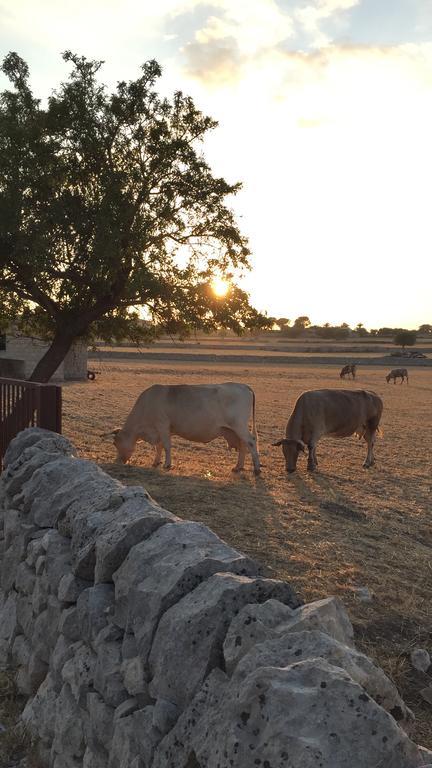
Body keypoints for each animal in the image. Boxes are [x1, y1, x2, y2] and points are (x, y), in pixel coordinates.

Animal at [103, 380, 262, 472]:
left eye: (115, 443)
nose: (118, 461)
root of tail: (242, 385)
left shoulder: (162, 425)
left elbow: (166, 446)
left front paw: (167, 465)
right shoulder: (161, 430)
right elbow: (159, 446)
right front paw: (156, 462)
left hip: (239, 426)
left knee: (251, 442)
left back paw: (256, 468)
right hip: (234, 430)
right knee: (242, 445)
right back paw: (238, 467)